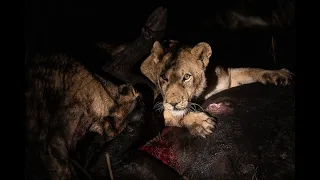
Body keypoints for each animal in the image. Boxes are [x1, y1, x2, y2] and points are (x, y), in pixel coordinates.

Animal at [141, 40, 294, 138]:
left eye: (187, 77)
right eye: (164, 77)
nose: (173, 103)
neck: (199, 94)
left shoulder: (228, 78)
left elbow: (251, 70)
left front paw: (279, 74)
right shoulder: (157, 110)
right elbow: (175, 115)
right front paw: (200, 122)